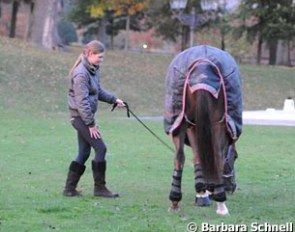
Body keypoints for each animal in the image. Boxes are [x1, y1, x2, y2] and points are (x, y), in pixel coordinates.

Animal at [164, 44, 243, 216]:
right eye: (235, 157)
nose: (232, 187)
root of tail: (203, 65)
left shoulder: (193, 127)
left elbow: (198, 157)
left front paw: (201, 194)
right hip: (218, 124)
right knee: (217, 157)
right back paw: (221, 204)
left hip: (179, 121)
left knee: (179, 157)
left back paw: (175, 201)